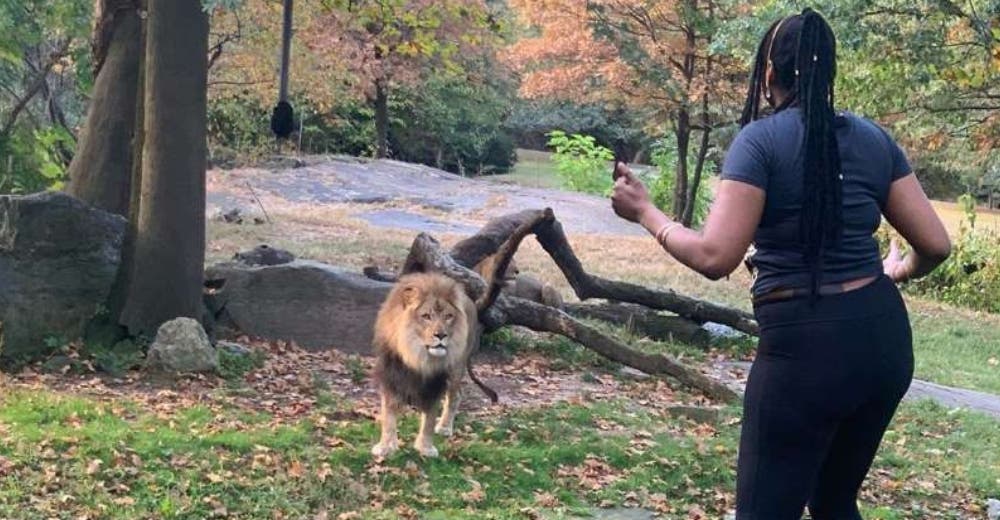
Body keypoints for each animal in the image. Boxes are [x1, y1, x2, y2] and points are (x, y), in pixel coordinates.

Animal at [372, 274, 484, 458]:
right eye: (426, 316)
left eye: (448, 316)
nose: (441, 335)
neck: (417, 356)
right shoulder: (391, 376)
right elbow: (388, 415)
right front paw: (386, 447)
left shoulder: (436, 383)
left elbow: (429, 419)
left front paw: (426, 448)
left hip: (456, 369)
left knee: (455, 396)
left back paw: (445, 427)